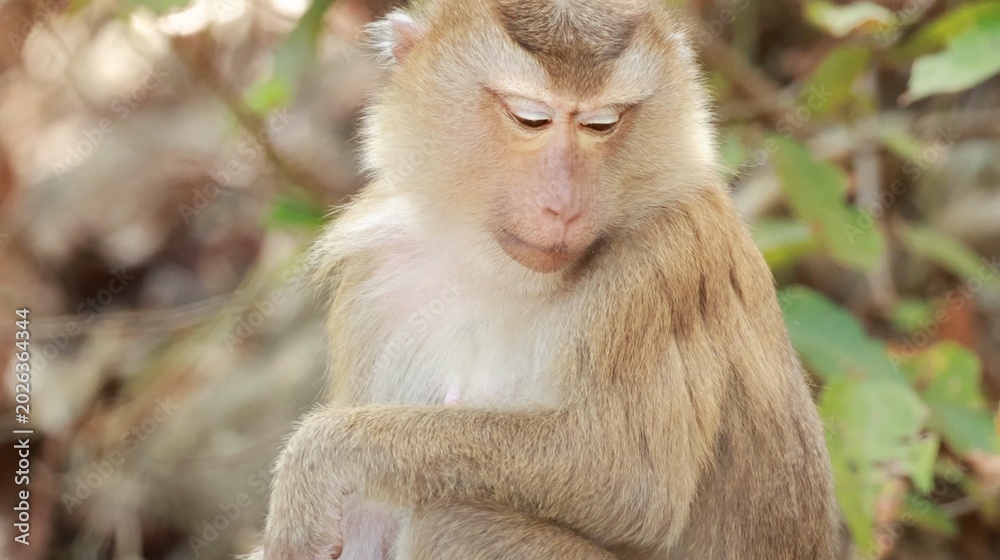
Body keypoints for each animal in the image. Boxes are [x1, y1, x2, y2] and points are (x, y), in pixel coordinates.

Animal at [255, 0, 839, 559]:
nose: (564, 207)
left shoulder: (666, 257)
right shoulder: (379, 281)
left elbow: (625, 478)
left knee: (454, 524)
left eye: (601, 124)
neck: (497, 272)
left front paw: (319, 458)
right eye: (529, 118)